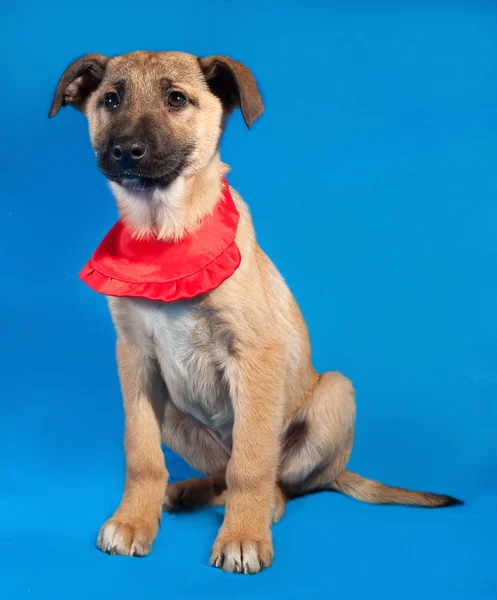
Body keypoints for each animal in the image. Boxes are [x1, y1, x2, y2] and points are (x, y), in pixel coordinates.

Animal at [48, 52, 460, 576]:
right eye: (110, 100)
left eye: (176, 99)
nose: (125, 152)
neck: (168, 237)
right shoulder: (135, 358)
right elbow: (142, 454)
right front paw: (133, 520)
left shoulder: (254, 353)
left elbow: (251, 464)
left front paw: (242, 536)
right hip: (175, 414)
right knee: (220, 472)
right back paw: (187, 491)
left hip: (335, 391)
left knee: (274, 482)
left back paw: (259, 510)